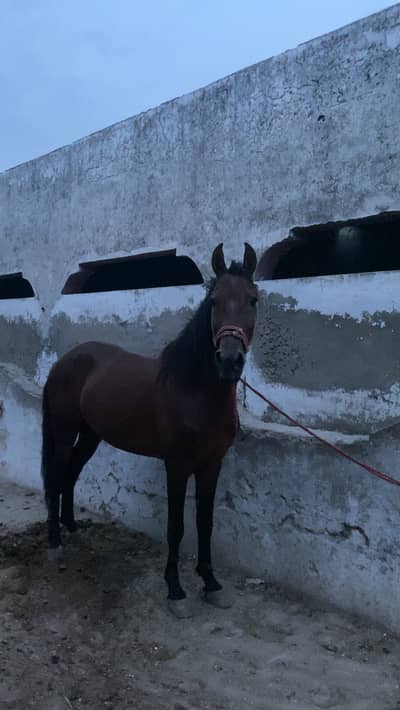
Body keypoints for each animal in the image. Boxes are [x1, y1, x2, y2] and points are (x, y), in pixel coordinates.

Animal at [41, 243, 258, 616]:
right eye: (214, 300)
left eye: (253, 300)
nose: (229, 361)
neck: (194, 390)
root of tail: (65, 360)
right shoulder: (177, 464)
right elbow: (176, 526)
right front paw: (175, 590)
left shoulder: (212, 464)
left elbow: (205, 522)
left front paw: (211, 583)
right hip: (65, 431)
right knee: (57, 477)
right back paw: (55, 543)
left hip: (91, 435)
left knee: (71, 474)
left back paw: (73, 528)